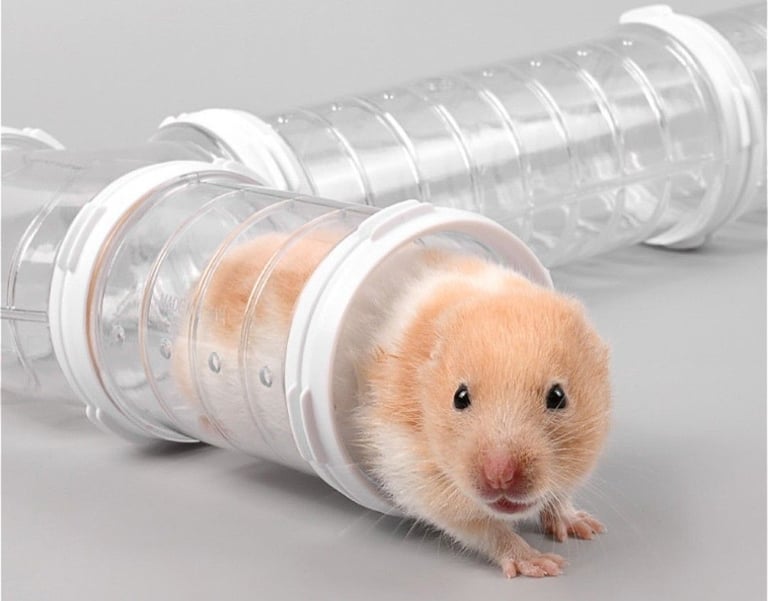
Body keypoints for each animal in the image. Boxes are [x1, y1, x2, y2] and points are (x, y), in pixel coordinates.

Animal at [173, 231, 611, 578]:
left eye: (558, 397)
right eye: (460, 398)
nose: (500, 479)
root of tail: (200, 281)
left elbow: (557, 496)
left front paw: (585, 527)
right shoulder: (413, 474)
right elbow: (483, 528)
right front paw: (542, 565)